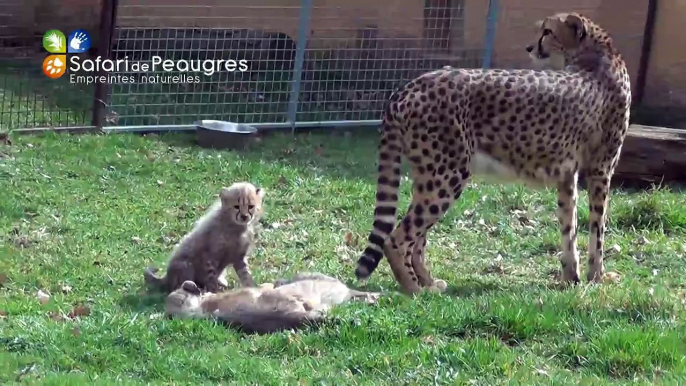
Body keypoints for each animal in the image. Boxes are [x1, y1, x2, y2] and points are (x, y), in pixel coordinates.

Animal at [354, 12, 636, 296]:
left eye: (547, 31)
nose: (530, 47)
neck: (594, 51)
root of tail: (410, 86)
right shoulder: (601, 170)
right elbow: (597, 230)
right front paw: (597, 277)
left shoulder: (568, 175)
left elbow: (570, 228)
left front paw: (571, 278)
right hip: (448, 175)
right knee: (397, 238)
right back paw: (415, 289)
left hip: (429, 173)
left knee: (417, 238)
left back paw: (429, 282)